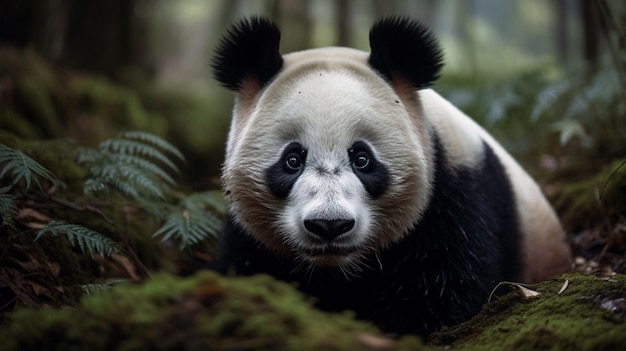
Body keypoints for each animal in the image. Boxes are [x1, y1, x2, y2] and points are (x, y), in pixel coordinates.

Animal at [211, 17, 572, 338]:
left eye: (362, 159)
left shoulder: (455, 196)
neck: (337, 269)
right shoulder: (248, 234)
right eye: (292, 160)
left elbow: (443, 292)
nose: (329, 225)